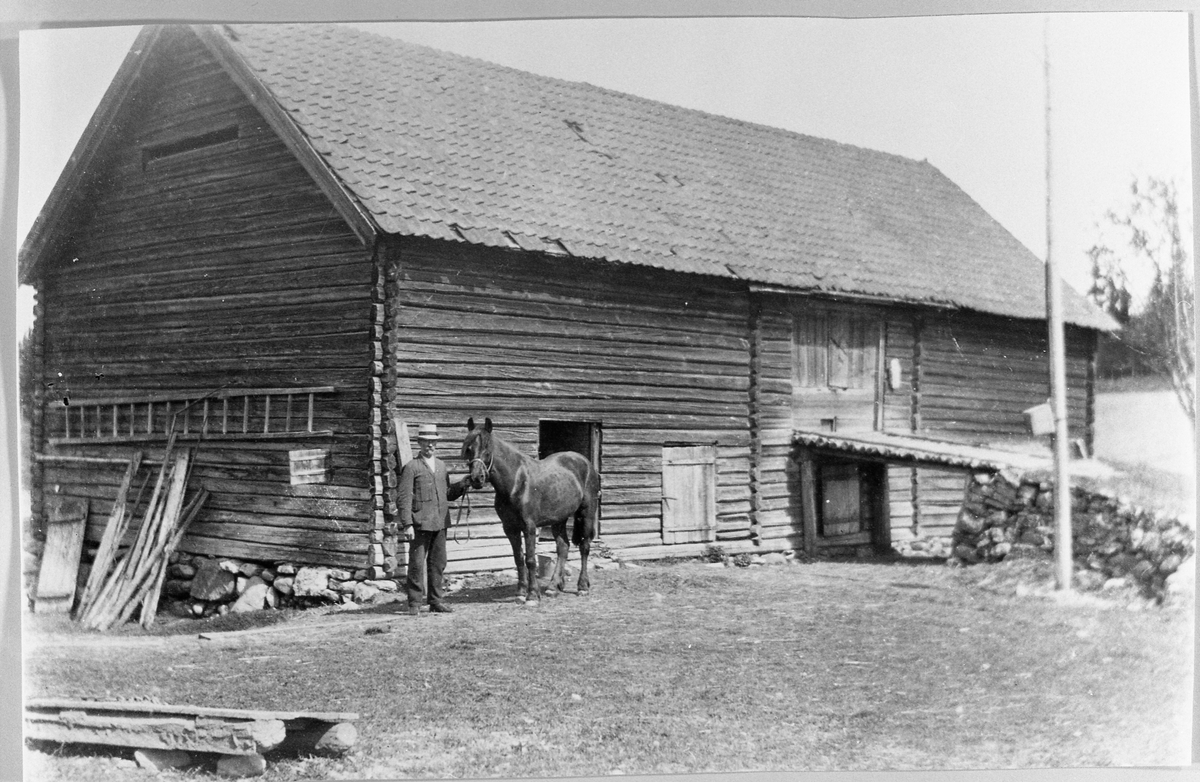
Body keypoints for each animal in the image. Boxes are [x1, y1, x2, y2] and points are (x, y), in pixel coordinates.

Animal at [458, 417, 600, 602]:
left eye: (487, 449)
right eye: (469, 449)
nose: (477, 479)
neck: (517, 482)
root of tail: (586, 463)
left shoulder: (529, 527)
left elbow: (531, 560)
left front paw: (532, 595)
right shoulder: (510, 528)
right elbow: (518, 559)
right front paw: (520, 592)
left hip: (586, 513)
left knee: (584, 546)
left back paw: (582, 586)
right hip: (559, 519)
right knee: (563, 547)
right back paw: (553, 587)